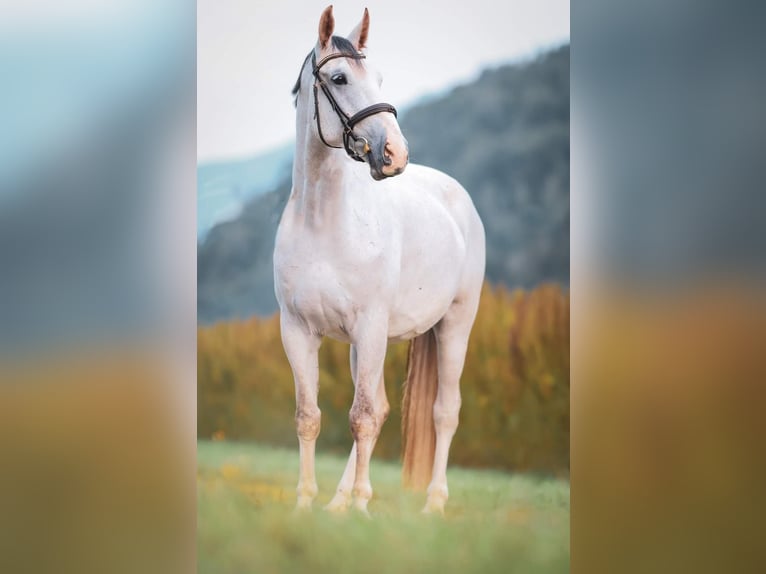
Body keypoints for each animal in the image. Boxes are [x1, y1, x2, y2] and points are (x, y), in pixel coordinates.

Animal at [273, 6, 485, 515]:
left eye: (381, 77)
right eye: (339, 77)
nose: (394, 154)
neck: (324, 223)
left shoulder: (369, 326)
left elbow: (363, 417)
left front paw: (363, 508)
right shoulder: (298, 330)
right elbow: (310, 416)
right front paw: (307, 505)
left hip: (454, 325)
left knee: (444, 411)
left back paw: (432, 504)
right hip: (362, 344)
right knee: (384, 405)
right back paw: (337, 503)